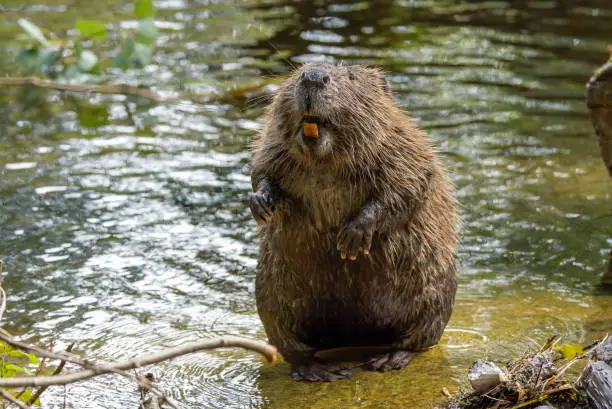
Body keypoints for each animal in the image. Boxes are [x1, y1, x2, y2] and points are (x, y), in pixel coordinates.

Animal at [249, 62, 460, 380]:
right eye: (299, 70)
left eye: (350, 76)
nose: (313, 77)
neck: (324, 161)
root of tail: (355, 338)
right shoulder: (273, 148)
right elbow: (260, 171)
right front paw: (261, 202)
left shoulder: (402, 144)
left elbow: (410, 183)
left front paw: (351, 239)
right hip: (271, 291)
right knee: (290, 345)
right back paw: (321, 370)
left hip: (435, 288)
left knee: (421, 337)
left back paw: (387, 360)